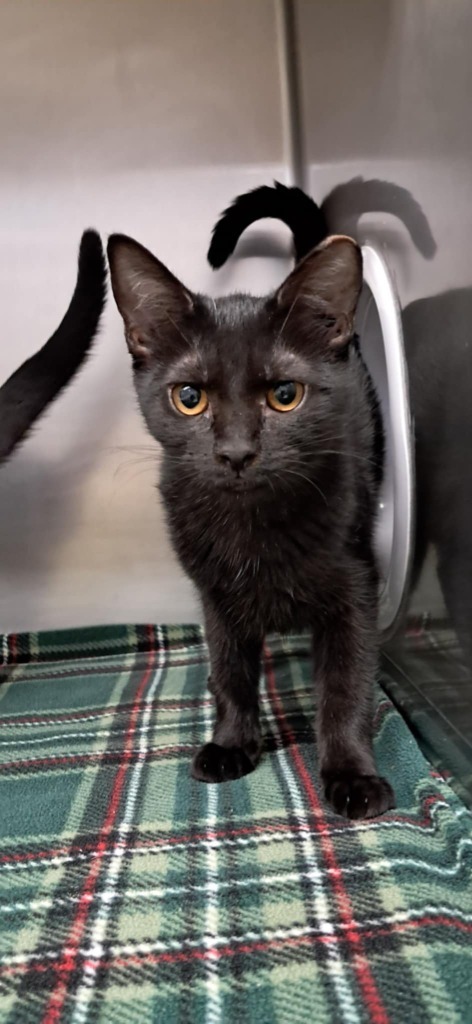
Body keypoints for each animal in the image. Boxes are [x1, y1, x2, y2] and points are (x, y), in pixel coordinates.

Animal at [108, 184, 395, 819]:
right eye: (189, 397)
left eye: (285, 394)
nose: (236, 452)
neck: (250, 524)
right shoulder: (215, 594)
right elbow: (231, 671)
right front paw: (234, 743)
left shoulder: (356, 587)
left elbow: (346, 685)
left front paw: (352, 775)